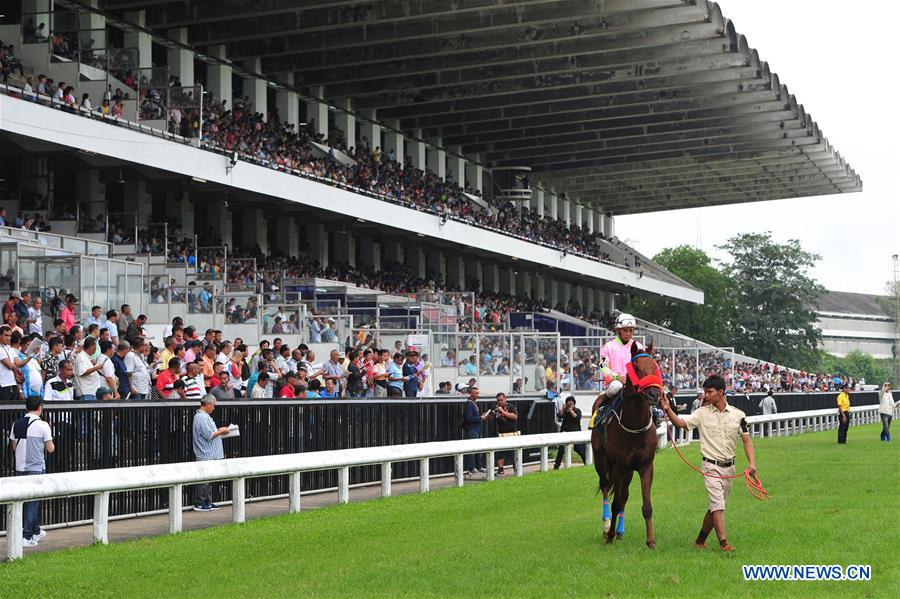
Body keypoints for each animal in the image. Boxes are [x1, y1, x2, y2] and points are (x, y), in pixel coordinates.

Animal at [592, 342, 660, 548]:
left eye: (655, 366)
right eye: (636, 368)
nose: (654, 394)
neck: (635, 426)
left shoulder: (646, 466)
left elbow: (646, 505)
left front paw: (650, 541)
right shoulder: (619, 466)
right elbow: (615, 503)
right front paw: (609, 535)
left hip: (629, 471)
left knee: (624, 495)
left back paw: (620, 531)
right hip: (601, 459)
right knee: (605, 486)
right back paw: (607, 526)